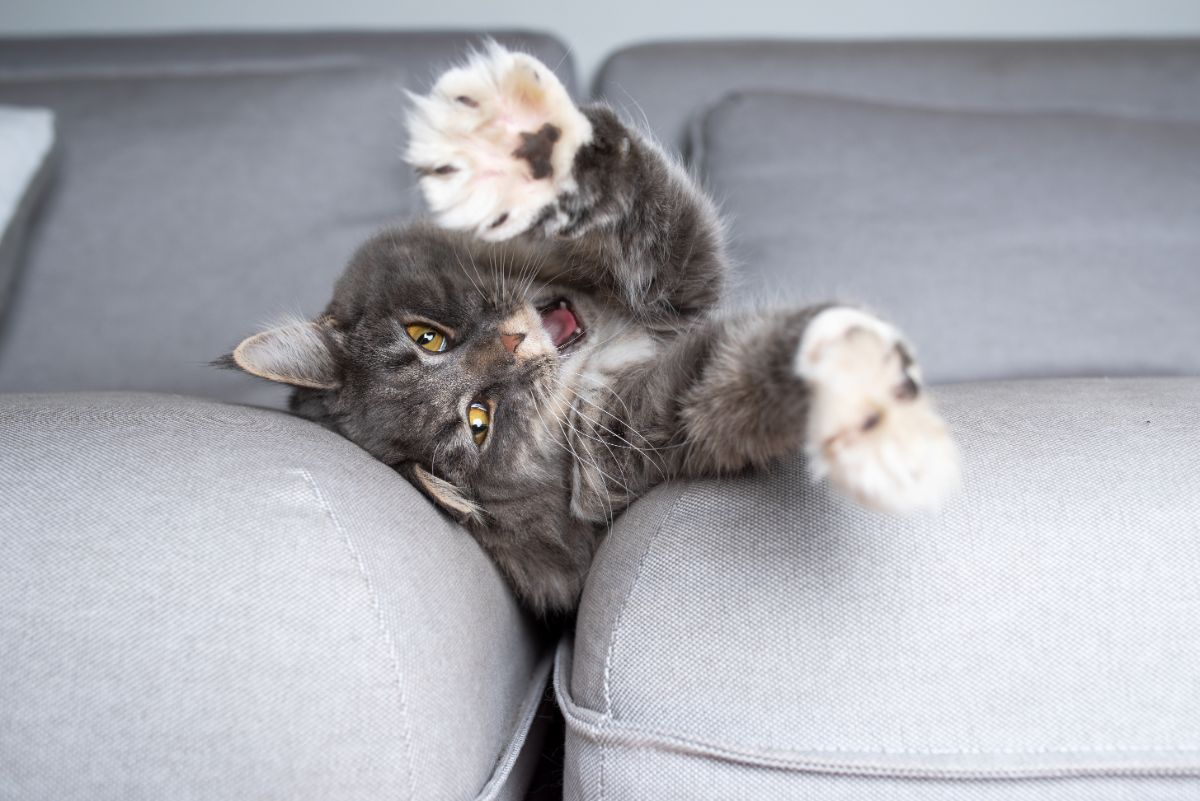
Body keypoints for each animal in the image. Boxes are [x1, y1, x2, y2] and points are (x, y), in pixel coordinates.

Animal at [223, 43, 955, 618]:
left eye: (427, 336)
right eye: (479, 420)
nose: (514, 343)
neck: (601, 335)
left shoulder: (671, 272)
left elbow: (637, 197)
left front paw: (513, 138)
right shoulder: (648, 424)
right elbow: (731, 371)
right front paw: (867, 403)